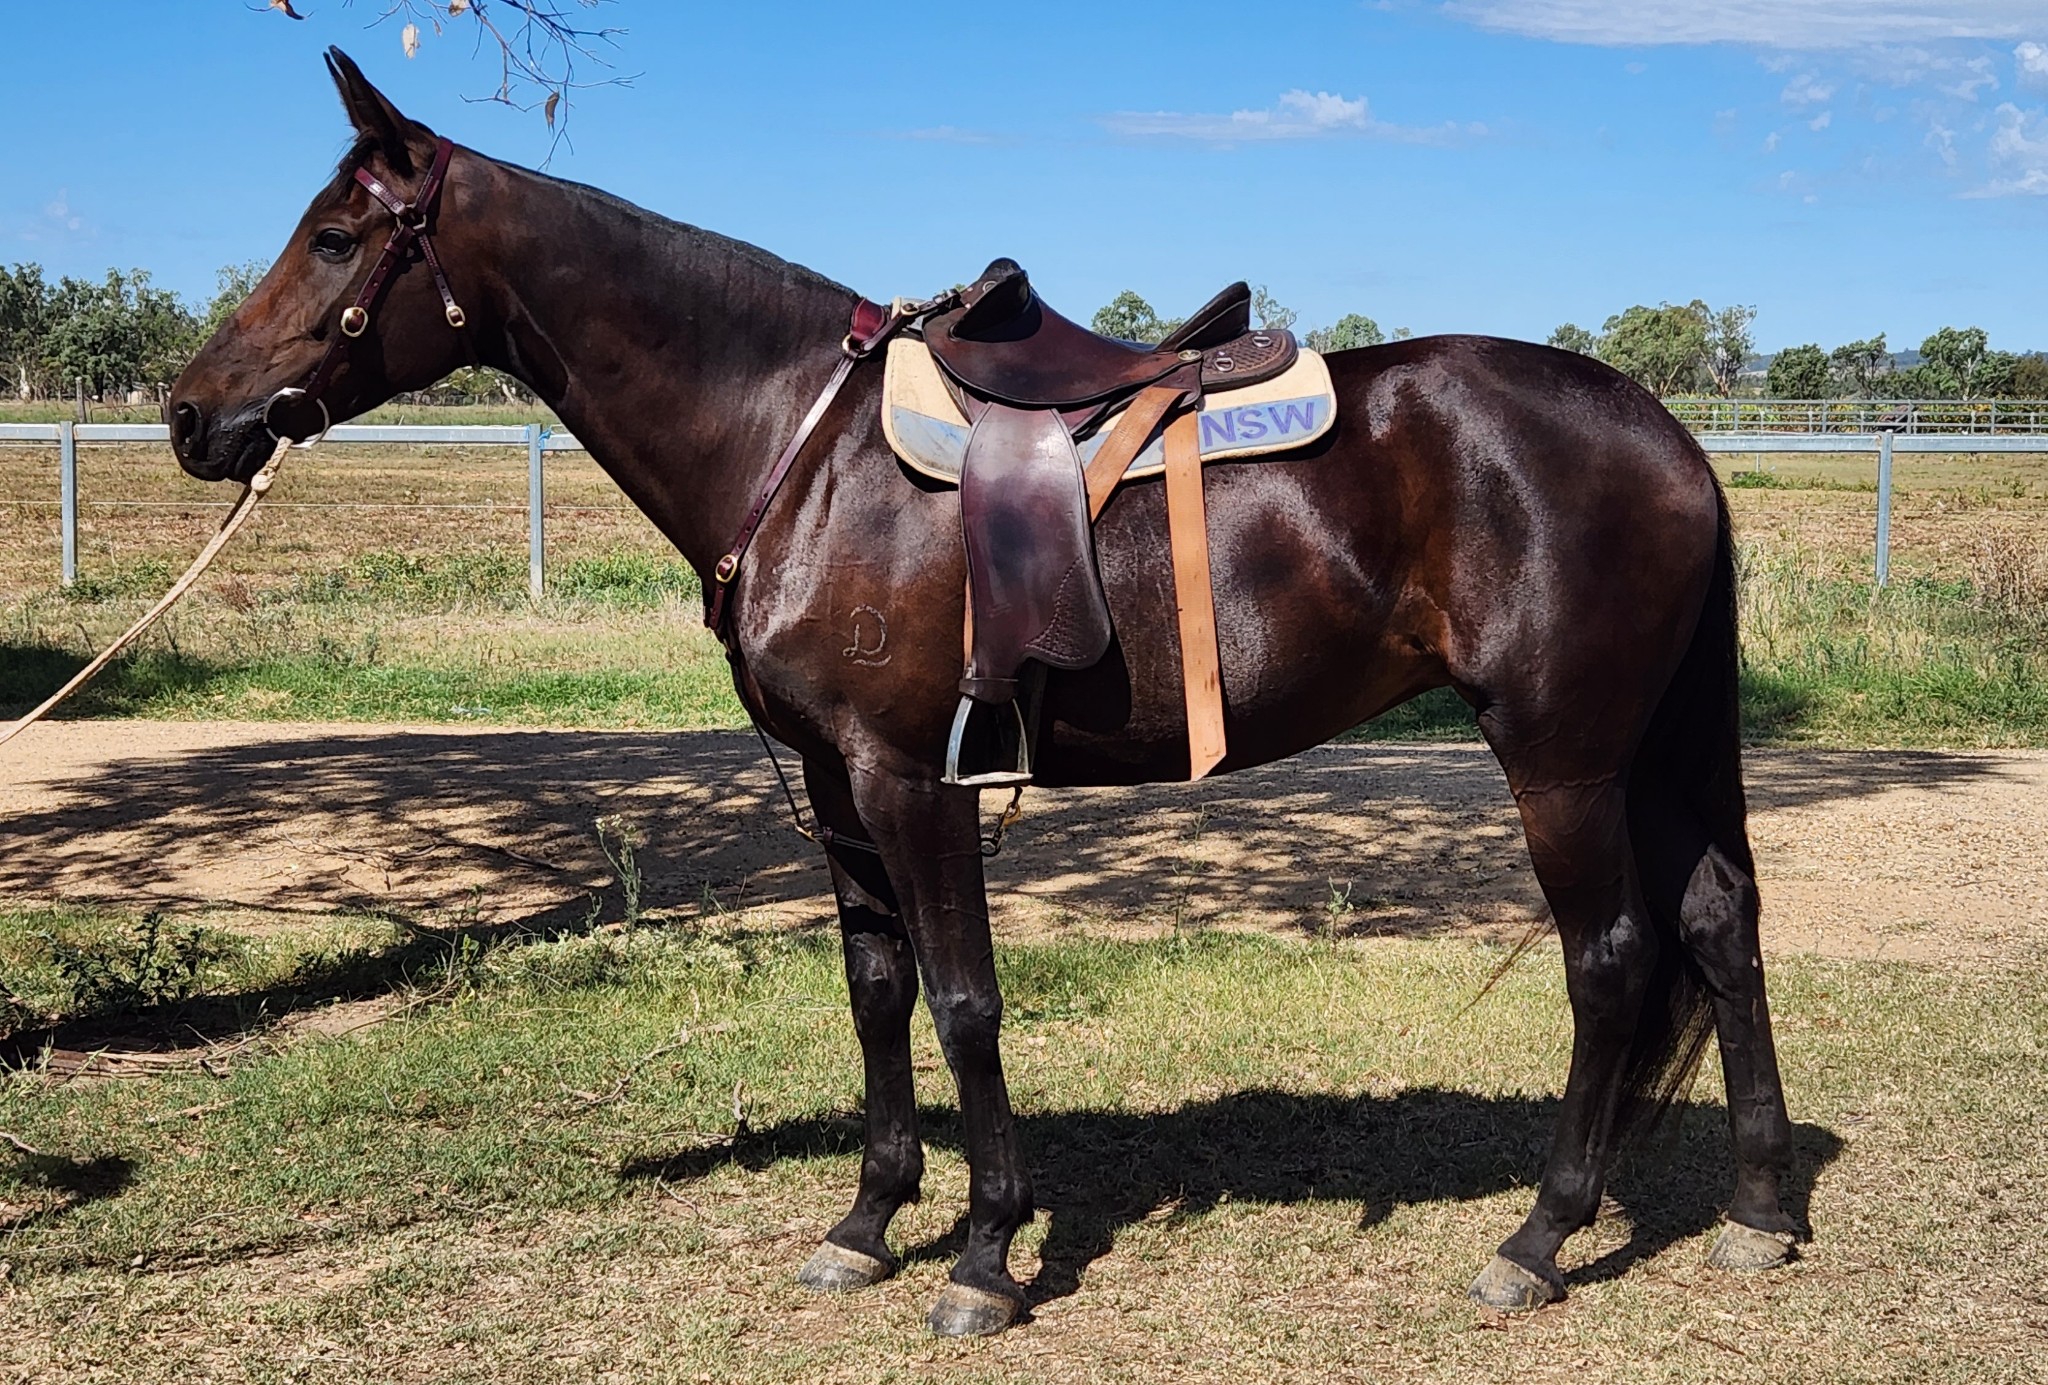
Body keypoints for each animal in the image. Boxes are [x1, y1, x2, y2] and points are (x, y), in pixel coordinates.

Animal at [167, 48, 1800, 1336]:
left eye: (333, 238)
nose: (194, 416)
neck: (799, 444)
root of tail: (1661, 430)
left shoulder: (911, 776)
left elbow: (962, 999)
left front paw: (985, 1251)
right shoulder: (834, 784)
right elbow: (877, 989)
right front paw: (866, 1221)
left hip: (1562, 757)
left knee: (1611, 957)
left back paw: (1540, 1234)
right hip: (1655, 749)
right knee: (1719, 925)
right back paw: (1759, 1209)